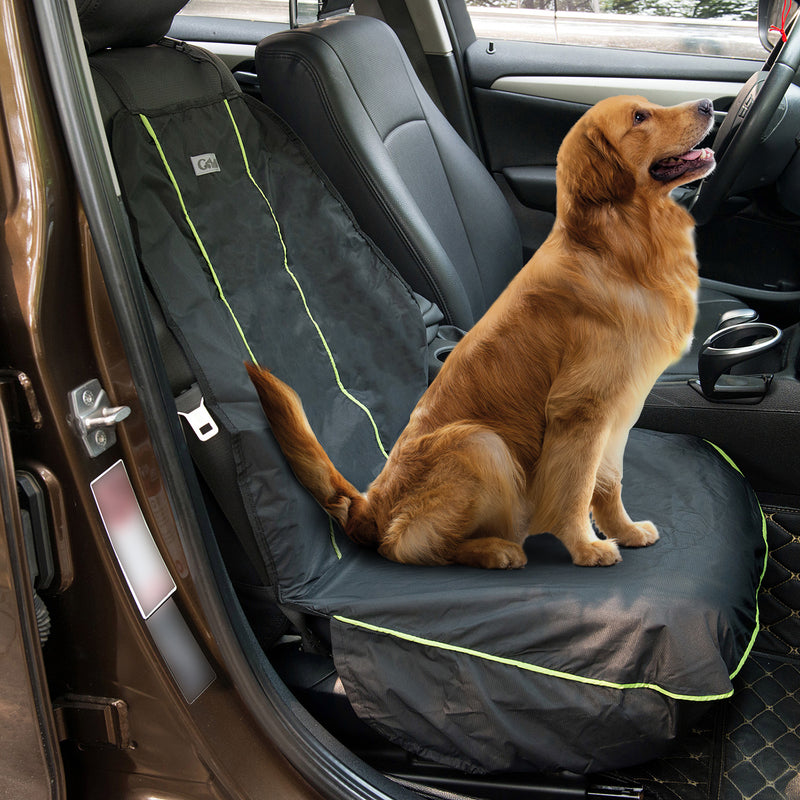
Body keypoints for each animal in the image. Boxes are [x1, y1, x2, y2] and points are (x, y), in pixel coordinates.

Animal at [247, 94, 716, 568]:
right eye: (640, 117)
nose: (709, 104)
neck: (619, 239)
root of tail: (371, 504)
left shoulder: (620, 408)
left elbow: (608, 482)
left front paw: (625, 529)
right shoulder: (580, 409)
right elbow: (576, 488)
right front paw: (585, 547)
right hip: (480, 443)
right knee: (406, 544)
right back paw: (494, 550)